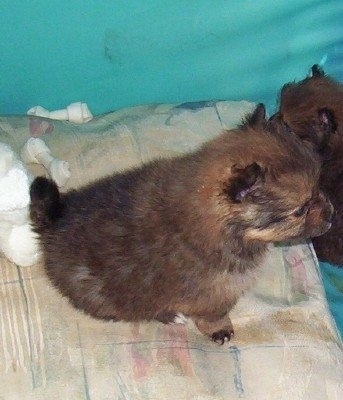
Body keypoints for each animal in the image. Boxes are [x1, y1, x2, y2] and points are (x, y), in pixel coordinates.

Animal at [29, 104, 334, 344]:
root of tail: (55, 220)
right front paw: (220, 330)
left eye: (318, 187)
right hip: (104, 294)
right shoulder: (214, 295)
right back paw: (169, 315)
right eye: (301, 210)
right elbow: (214, 315)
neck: (225, 228)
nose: (331, 214)